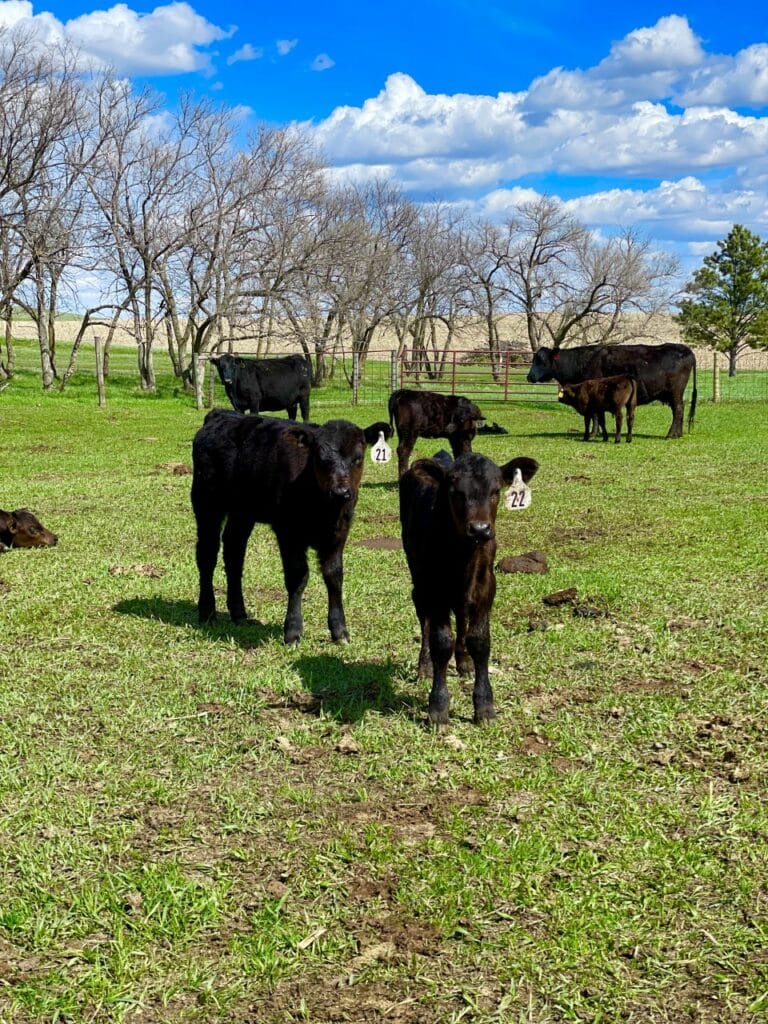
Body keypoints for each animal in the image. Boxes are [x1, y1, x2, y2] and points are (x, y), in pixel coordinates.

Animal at [192, 410, 391, 644]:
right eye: (320, 459)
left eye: (358, 458)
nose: (341, 492)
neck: (323, 509)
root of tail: (220, 414)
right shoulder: (288, 532)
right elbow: (297, 576)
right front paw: (293, 631)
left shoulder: (339, 532)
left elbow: (334, 576)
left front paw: (339, 631)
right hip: (206, 503)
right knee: (207, 554)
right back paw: (207, 611)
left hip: (242, 512)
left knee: (234, 552)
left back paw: (239, 613)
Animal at [399, 449, 539, 728]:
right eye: (455, 492)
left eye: (496, 490)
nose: (480, 529)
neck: (462, 556)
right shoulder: (434, 589)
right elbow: (441, 642)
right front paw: (438, 707)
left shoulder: (486, 587)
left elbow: (480, 641)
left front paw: (484, 705)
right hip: (418, 582)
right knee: (424, 620)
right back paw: (424, 666)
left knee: (462, 616)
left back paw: (463, 663)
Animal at [527, 343, 697, 439]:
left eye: (542, 361)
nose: (529, 376)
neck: (581, 362)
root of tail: (685, 349)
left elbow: (594, 416)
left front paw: (593, 434)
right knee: (679, 411)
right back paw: (678, 434)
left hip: (675, 393)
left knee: (678, 410)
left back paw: (671, 434)